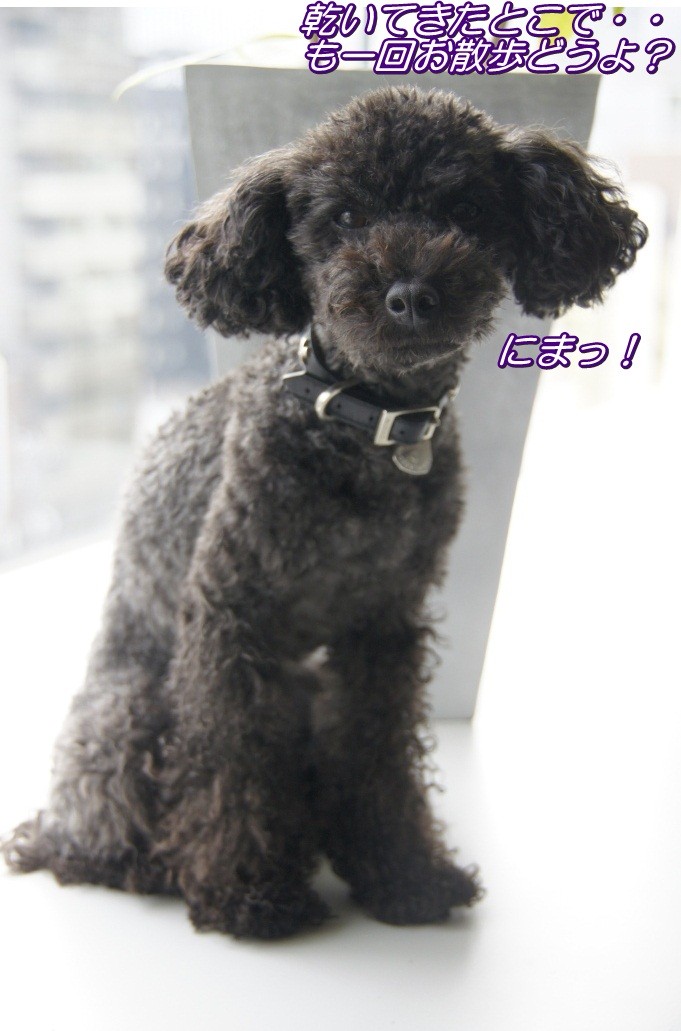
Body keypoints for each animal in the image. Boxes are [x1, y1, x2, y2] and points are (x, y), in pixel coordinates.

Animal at [2, 87, 646, 939]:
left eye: (463, 209)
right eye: (342, 217)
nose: (408, 294)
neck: (363, 424)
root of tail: (46, 822)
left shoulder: (383, 624)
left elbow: (378, 753)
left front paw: (403, 872)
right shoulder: (230, 616)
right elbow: (231, 753)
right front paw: (245, 888)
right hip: (127, 713)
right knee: (96, 843)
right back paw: (158, 862)